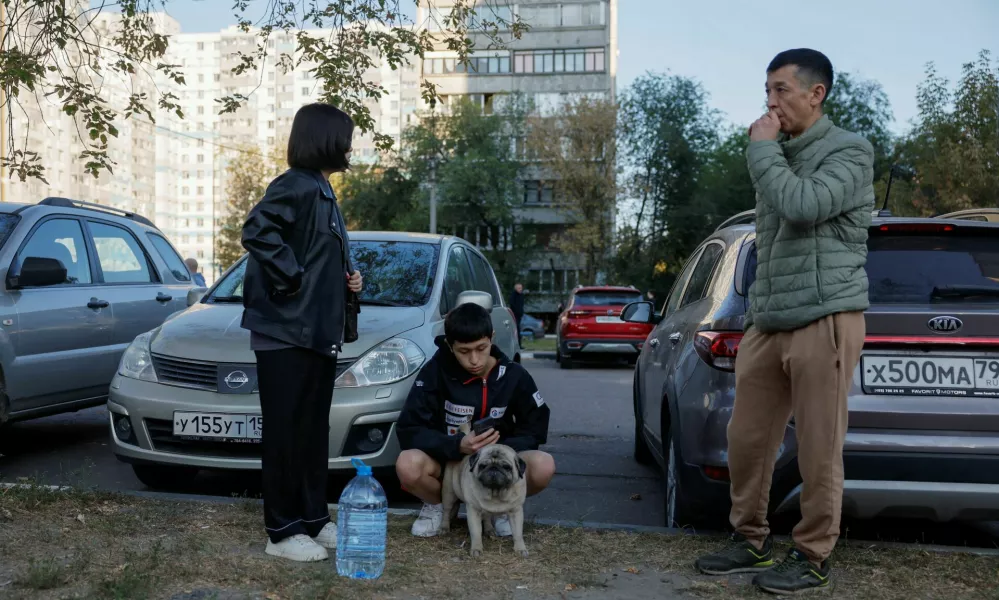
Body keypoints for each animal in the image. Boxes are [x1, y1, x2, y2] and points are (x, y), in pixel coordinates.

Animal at [440, 422, 532, 556]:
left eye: (506, 467)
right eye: (483, 466)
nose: (494, 468)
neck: (495, 492)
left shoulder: (516, 511)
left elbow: (518, 533)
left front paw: (520, 549)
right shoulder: (473, 511)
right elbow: (476, 533)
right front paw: (476, 549)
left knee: (487, 517)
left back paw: (489, 530)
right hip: (449, 493)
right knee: (446, 511)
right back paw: (444, 528)